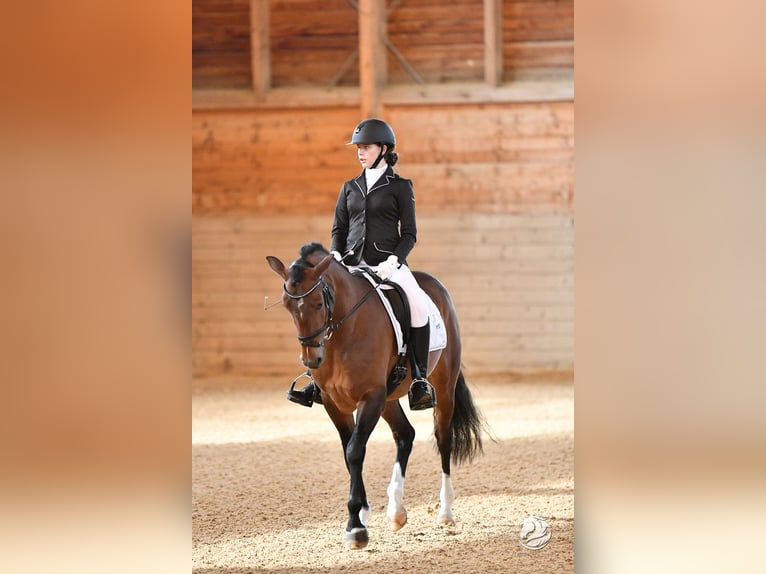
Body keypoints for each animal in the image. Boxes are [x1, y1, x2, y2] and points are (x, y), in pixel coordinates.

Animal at [268, 241, 486, 552]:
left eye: (319, 303)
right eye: (287, 305)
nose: (312, 360)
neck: (345, 331)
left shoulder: (370, 397)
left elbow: (355, 451)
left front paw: (356, 527)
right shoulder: (335, 404)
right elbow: (348, 452)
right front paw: (361, 514)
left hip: (442, 390)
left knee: (444, 440)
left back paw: (445, 512)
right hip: (390, 399)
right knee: (405, 434)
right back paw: (396, 512)